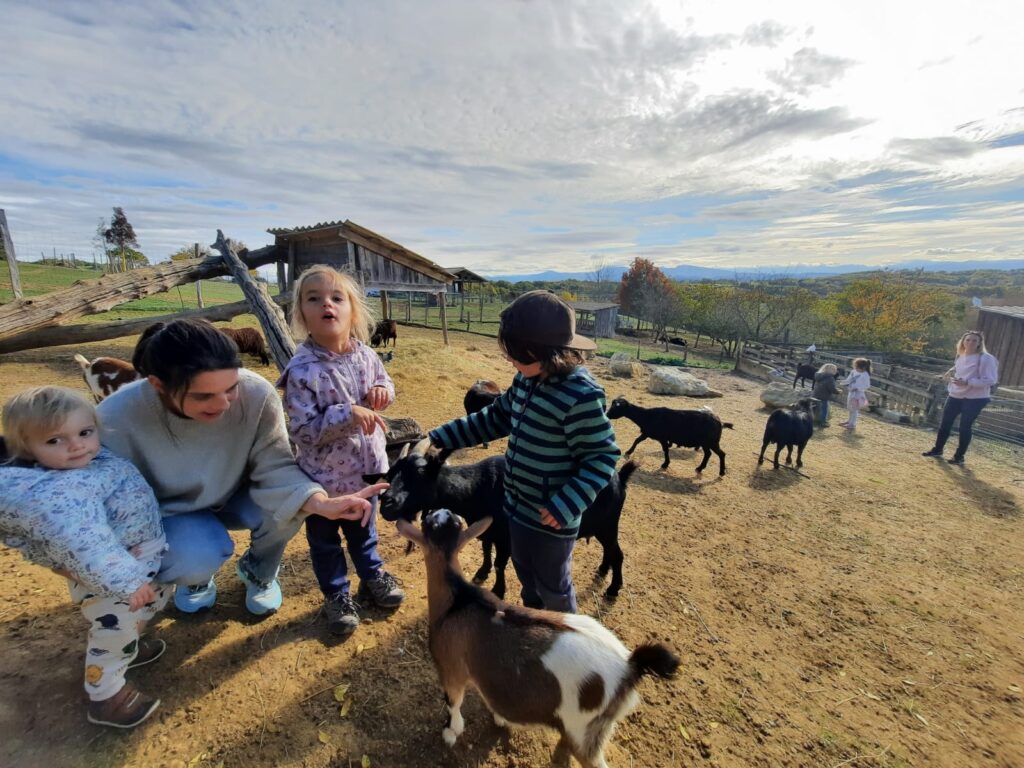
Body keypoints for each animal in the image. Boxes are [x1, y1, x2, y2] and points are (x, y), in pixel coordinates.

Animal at [368, 444, 638, 602]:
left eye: (421, 474)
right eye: (390, 474)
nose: (387, 504)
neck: (479, 487)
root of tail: (620, 478)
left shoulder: (507, 537)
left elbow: (499, 563)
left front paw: (498, 590)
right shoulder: (488, 531)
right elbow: (486, 550)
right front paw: (481, 572)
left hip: (608, 524)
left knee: (618, 553)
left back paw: (613, 588)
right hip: (602, 528)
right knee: (609, 551)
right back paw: (602, 569)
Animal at [395, 507, 675, 765]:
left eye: (428, 522)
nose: (437, 510)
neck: (458, 599)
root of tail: (630, 666)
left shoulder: (451, 670)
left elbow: (453, 705)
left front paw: (450, 733)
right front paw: (499, 717)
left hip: (584, 729)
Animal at [602, 397, 733, 475]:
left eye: (617, 407)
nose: (607, 415)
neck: (645, 416)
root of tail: (720, 422)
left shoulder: (662, 438)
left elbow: (665, 450)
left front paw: (665, 464)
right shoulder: (647, 433)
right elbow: (637, 440)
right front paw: (629, 452)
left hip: (711, 441)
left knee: (721, 454)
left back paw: (721, 472)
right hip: (706, 443)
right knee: (708, 454)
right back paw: (700, 468)